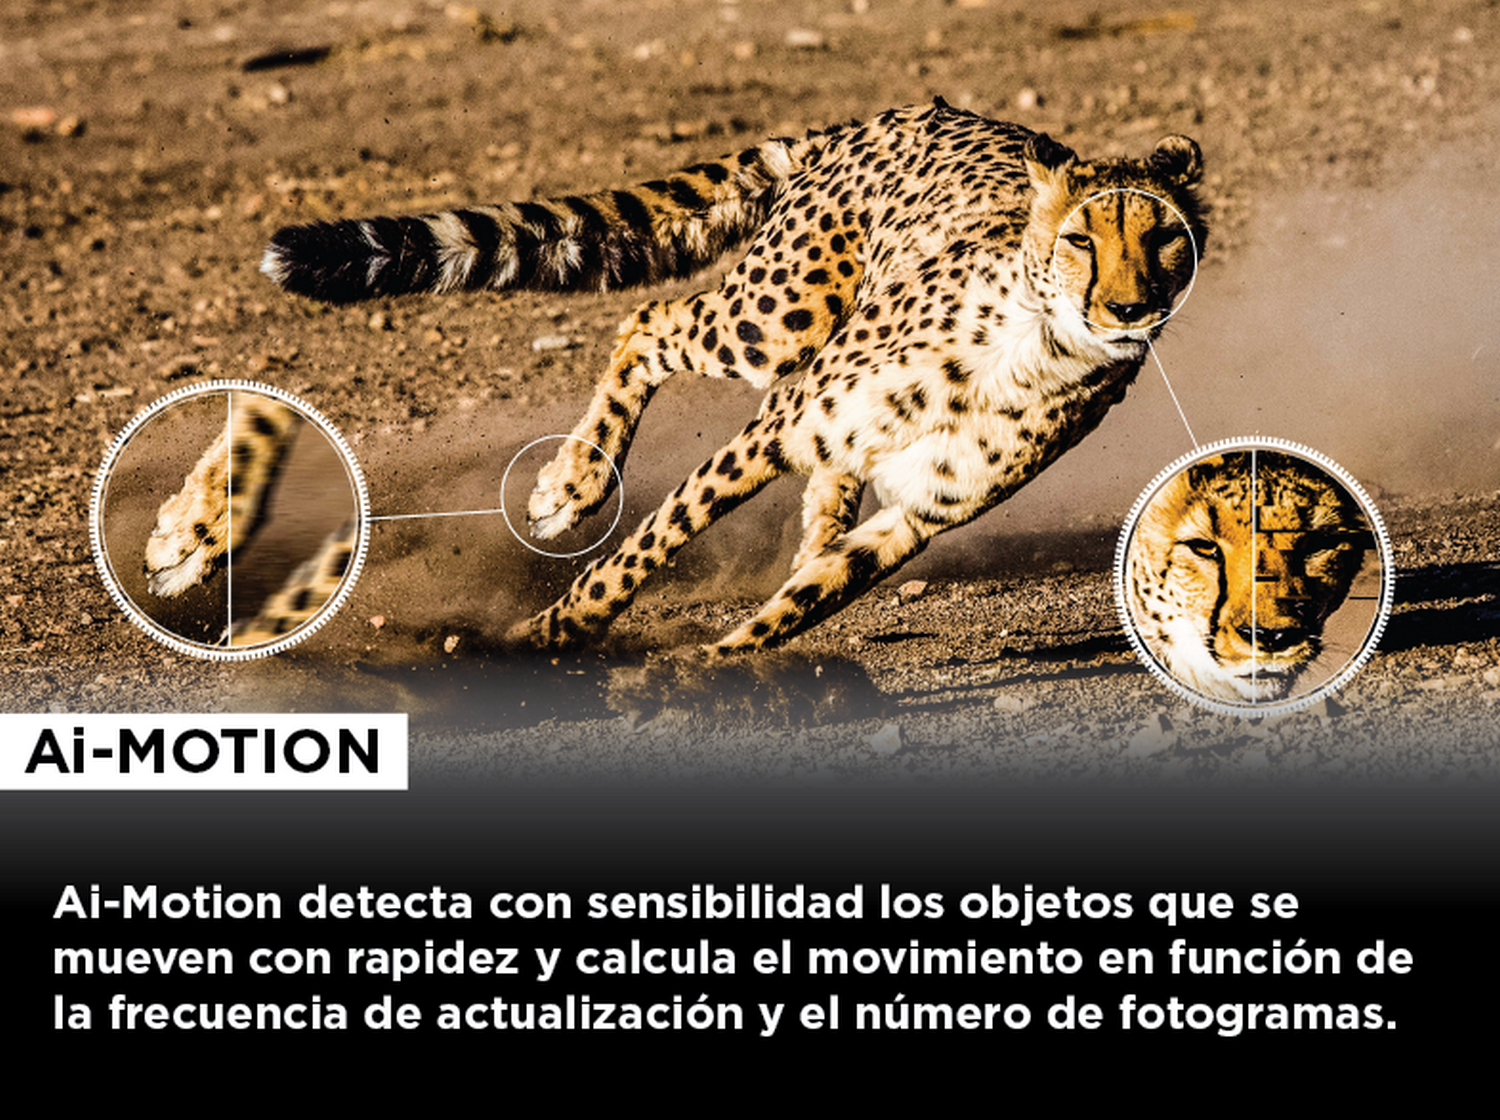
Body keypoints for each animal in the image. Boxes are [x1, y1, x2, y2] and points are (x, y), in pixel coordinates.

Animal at [260, 99, 1207, 654]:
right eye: (1081, 238)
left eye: (1164, 238)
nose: (1126, 308)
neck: (1035, 343)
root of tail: (898, 111)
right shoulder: (776, 428)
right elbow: (646, 548)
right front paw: (550, 633)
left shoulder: (915, 518)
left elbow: (803, 604)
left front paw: (718, 667)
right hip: (775, 324)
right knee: (648, 323)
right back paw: (571, 485)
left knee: (824, 499)